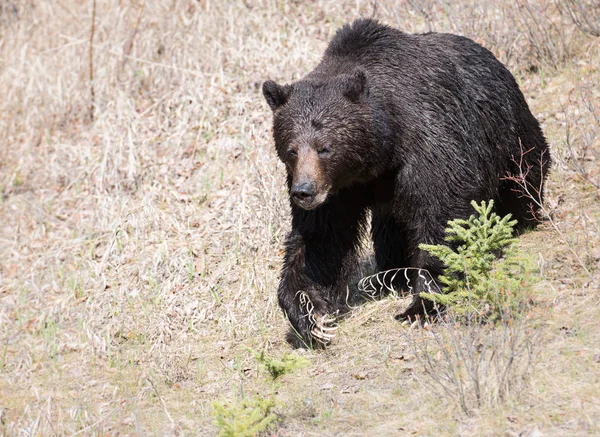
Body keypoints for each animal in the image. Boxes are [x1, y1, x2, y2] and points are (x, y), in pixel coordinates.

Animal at [262, 18, 548, 348]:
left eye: (325, 147)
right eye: (291, 149)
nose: (304, 192)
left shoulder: (428, 142)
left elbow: (442, 208)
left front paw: (421, 304)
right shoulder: (338, 191)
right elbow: (320, 241)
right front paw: (312, 316)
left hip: (509, 137)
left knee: (523, 179)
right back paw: (392, 274)